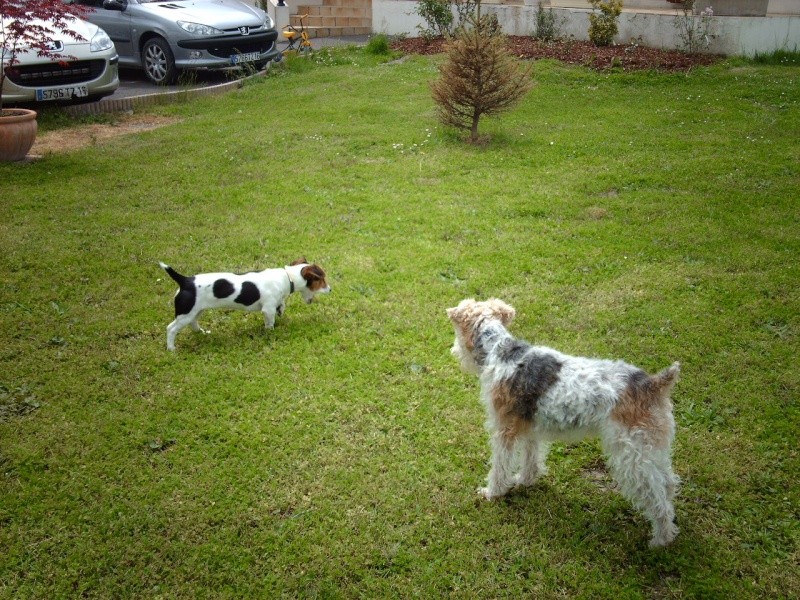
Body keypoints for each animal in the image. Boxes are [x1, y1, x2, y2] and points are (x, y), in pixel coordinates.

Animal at [159, 255, 328, 350]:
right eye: (321, 280)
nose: (330, 289)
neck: (288, 277)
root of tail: (184, 281)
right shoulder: (268, 309)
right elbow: (270, 323)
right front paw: (271, 333)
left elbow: (280, 308)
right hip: (185, 313)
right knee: (171, 329)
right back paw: (171, 348)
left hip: (196, 310)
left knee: (193, 323)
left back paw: (202, 333)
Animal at [446, 298, 680, 548]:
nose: (454, 351)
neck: (500, 352)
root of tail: (654, 384)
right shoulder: (530, 428)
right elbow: (531, 459)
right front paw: (525, 480)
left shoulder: (503, 430)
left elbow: (500, 467)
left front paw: (493, 492)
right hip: (652, 447)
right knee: (668, 484)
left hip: (632, 456)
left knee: (658, 500)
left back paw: (660, 540)